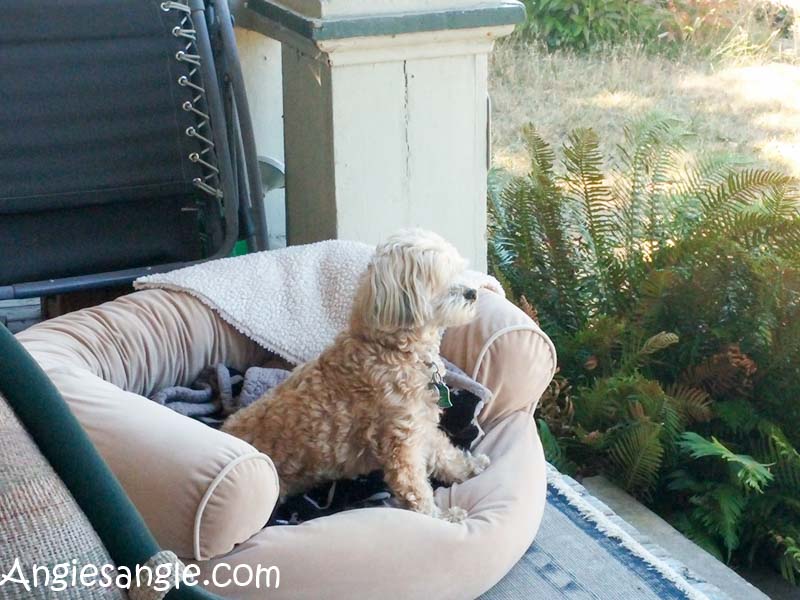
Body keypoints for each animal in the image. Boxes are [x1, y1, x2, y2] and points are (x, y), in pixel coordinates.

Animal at [222, 230, 490, 520]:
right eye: (439, 278)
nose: (472, 292)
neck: (392, 350)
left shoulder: (422, 425)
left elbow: (443, 451)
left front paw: (468, 467)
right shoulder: (401, 444)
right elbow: (415, 486)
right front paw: (442, 517)